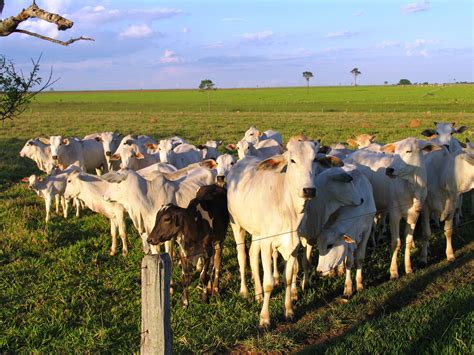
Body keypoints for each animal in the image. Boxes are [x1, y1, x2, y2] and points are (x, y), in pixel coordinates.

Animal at [227, 140, 318, 330]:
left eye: (314, 159)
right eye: (292, 160)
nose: (309, 190)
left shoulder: (293, 246)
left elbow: (288, 278)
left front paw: (289, 311)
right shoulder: (268, 244)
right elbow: (269, 283)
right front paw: (265, 319)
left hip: (257, 233)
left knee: (253, 254)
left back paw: (258, 294)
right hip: (236, 225)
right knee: (242, 256)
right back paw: (245, 291)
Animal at [344, 139, 440, 280]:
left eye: (408, 151)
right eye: (395, 152)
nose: (389, 170)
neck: (412, 187)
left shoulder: (414, 214)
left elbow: (408, 240)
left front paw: (408, 268)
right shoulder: (394, 213)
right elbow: (396, 242)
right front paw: (394, 272)